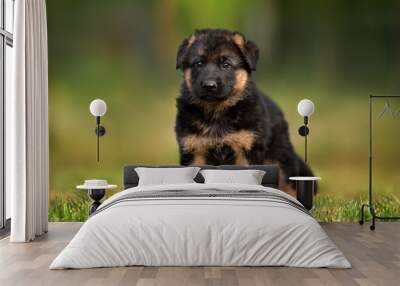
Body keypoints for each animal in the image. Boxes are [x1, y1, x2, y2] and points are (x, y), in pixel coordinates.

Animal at [173, 29, 314, 194]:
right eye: (199, 63)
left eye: (226, 64)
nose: (209, 85)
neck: (217, 112)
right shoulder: (194, 149)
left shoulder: (247, 149)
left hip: (279, 155)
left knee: (287, 182)